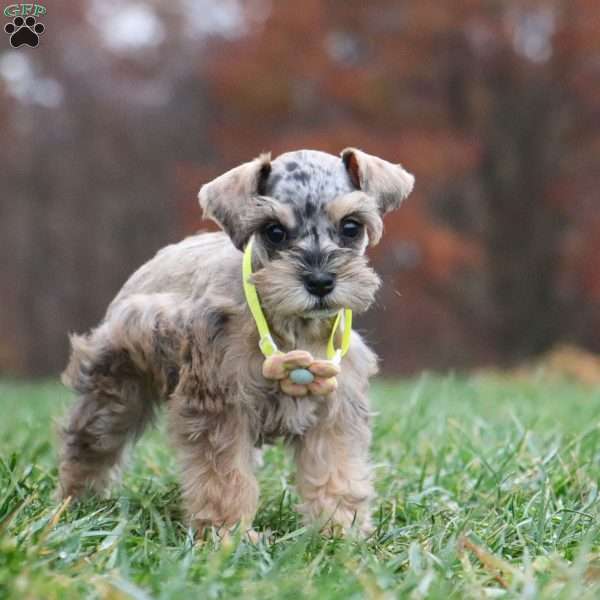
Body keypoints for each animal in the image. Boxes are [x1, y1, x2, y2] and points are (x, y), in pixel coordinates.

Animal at [58, 149, 414, 536]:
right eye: (274, 231)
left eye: (351, 226)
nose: (320, 282)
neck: (293, 328)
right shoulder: (220, 405)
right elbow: (224, 477)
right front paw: (227, 533)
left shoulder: (334, 408)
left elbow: (335, 471)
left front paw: (339, 531)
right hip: (115, 393)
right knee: (88, 445)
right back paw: (76, 503)